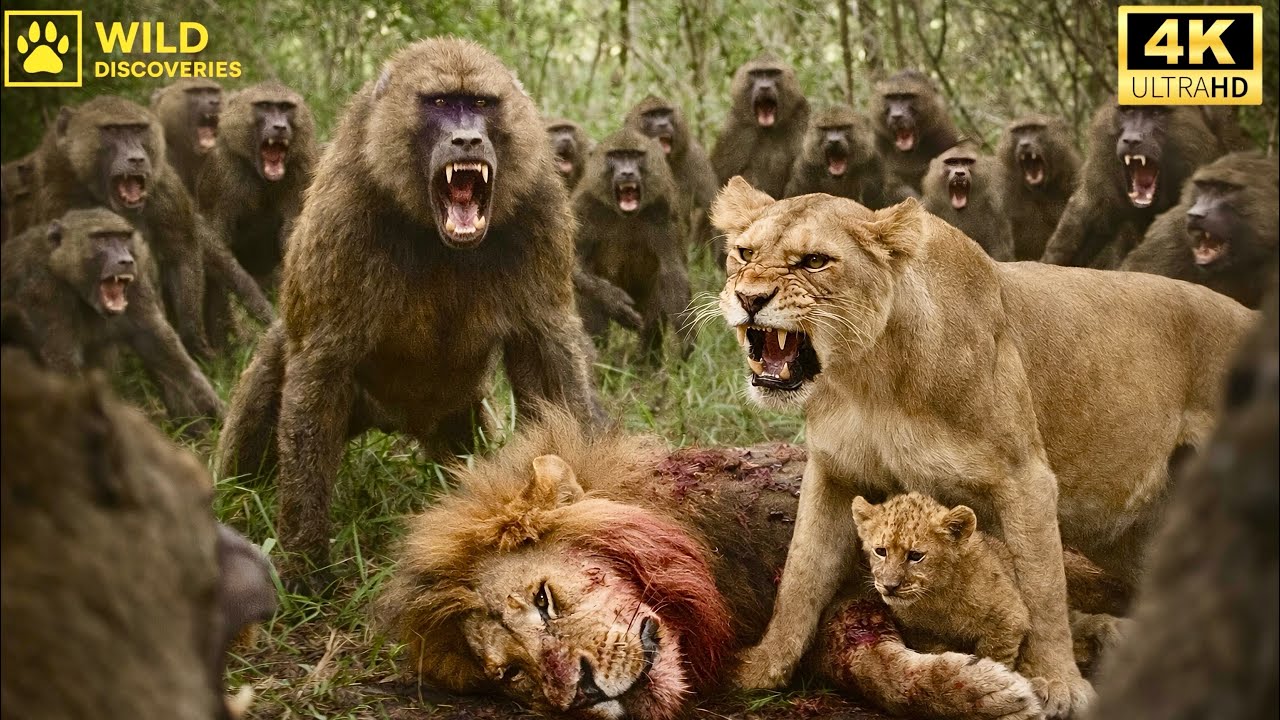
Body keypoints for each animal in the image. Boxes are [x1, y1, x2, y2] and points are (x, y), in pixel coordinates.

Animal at [711, 177, 1255, 718]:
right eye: (744, 252)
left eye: (814, 261)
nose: (749, 298)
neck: (870, 376)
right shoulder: (835, 472)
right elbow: (801, 576)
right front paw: (760, 669)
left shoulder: (1025, 478)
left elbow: (1042, 587)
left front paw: (1059, 684)